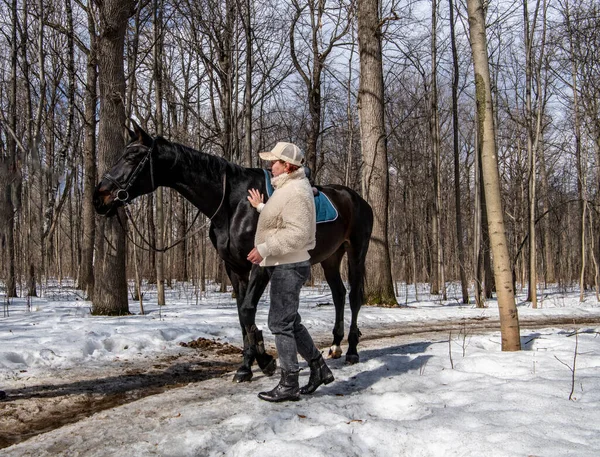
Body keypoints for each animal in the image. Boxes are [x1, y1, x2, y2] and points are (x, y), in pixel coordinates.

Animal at [92, 121, 376, 382]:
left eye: (132, 157)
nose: (99, 197)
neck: (234, 204)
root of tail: (357, 199)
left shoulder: (260, 265)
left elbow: (248, 310)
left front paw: (264, 359)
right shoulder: (234, 268)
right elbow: (241, 315)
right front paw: (247, 366)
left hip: (356, 252)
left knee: (354, 297)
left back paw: (352, 350)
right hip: (331, 258)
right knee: (338, 295)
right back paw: (336, 345)